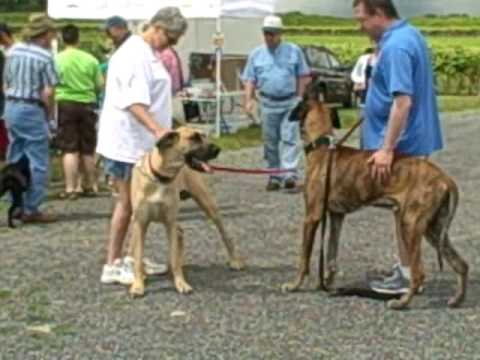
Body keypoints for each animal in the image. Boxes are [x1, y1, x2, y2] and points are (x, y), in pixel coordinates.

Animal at [282, 86, 468, 310]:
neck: (323, 148)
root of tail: (445, 178)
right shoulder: (336, 216)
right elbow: (331, 256)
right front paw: (326, 284)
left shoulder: (312, 217)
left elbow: (304, 257)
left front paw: (294, 285)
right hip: (434, 229)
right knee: (461, 264)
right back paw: (457, 299)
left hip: (411, 224)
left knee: (419, 273)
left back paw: (402, 302)